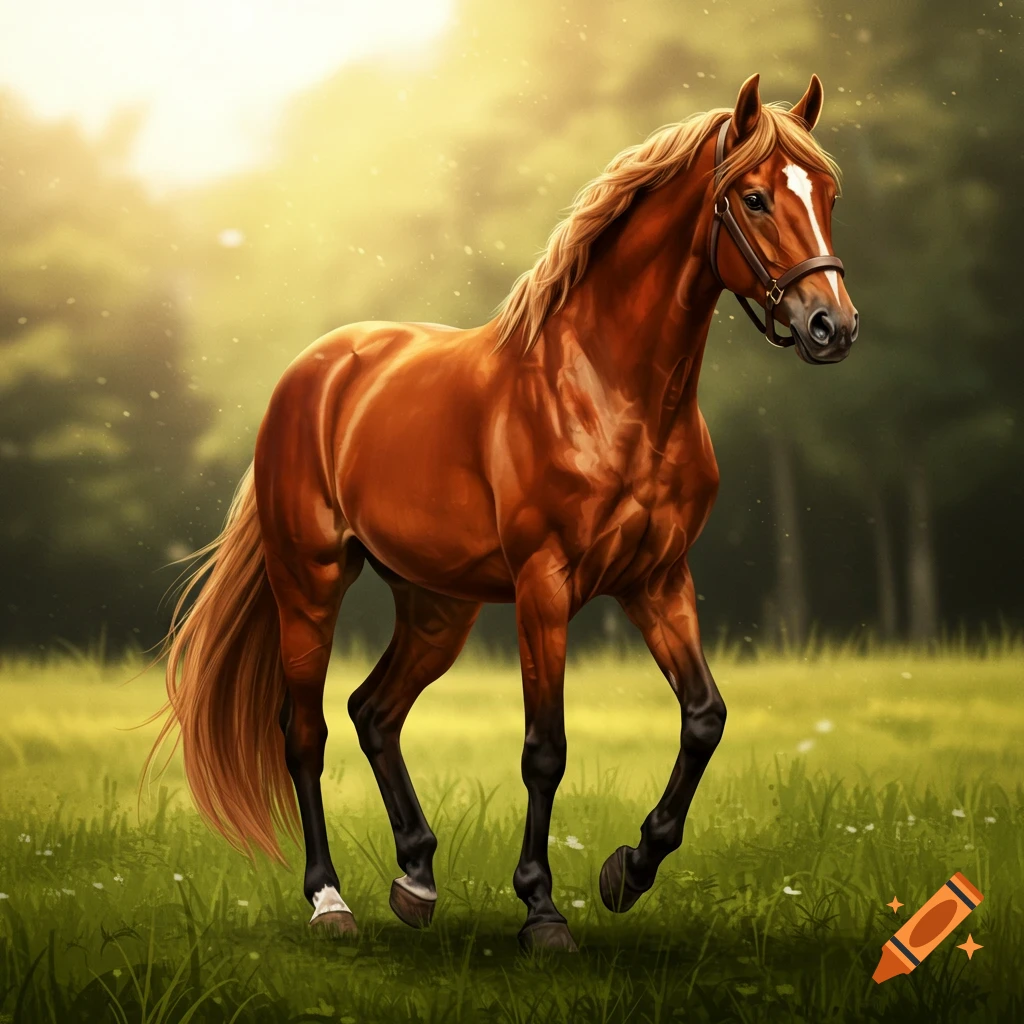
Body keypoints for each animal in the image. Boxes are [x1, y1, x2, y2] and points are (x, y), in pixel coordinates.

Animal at [148, 73, 858, 953]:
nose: (832, 325)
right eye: (755, 198)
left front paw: (628, 871)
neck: (607, 388)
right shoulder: (544, 587)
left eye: (828, 193)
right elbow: (544, 749)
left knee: (373, 711)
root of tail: (314, 370)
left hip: (436, 607)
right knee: (305, 730)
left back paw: (417, 879)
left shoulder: (658, 581)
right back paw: (330, 901)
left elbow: (705, 718)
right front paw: (542, 911)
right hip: (309, 581)